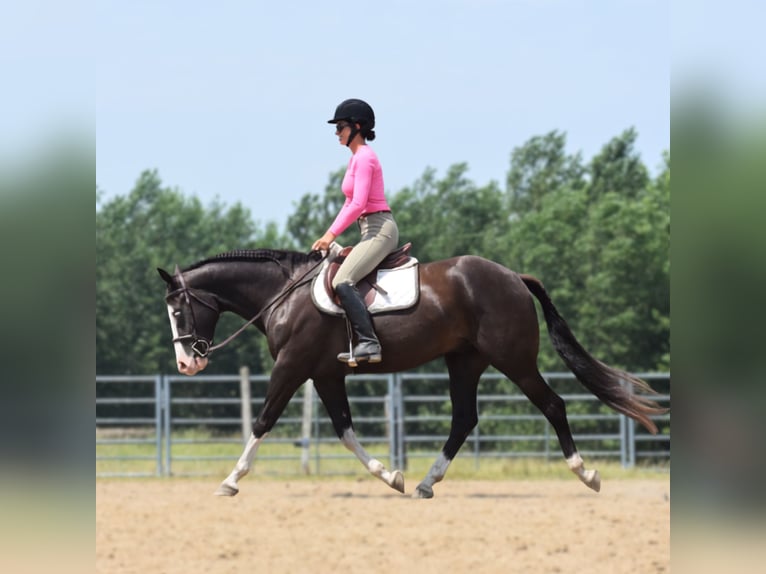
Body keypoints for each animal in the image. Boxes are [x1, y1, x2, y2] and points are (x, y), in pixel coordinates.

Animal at [158, 248, 667, 498]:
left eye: (179, 310)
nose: (187, 364)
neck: (285, 294)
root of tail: (513, 277)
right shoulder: (325, 376)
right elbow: (345, 431)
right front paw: (390, 476)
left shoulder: (292, 367)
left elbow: (263, 421)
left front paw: (230, 480)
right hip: (464, 362)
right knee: (464, 419)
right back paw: (424, 484)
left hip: (514, 360)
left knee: (552, 404)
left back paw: (586, 474)